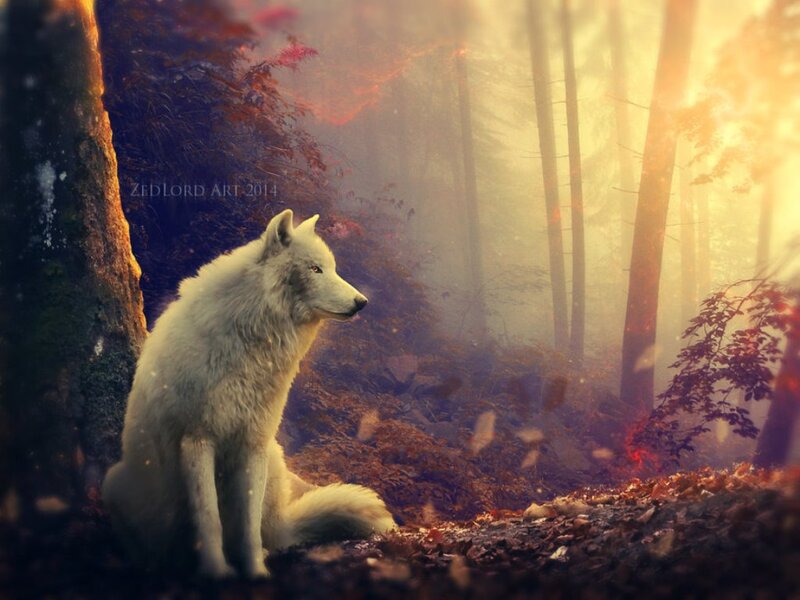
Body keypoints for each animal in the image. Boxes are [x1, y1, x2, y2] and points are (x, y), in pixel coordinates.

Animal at [102, 209, 395, 578]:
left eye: (332, 267)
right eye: (315, 269)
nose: (362, 302)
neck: (252, 348)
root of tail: (284, 524)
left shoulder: (253, 443)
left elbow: (248, 526)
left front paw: (256, 573)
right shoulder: (197, 439)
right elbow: (209, 520)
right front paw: (217, 573)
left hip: (272, 461)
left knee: (268, 532)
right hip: (115, 484)